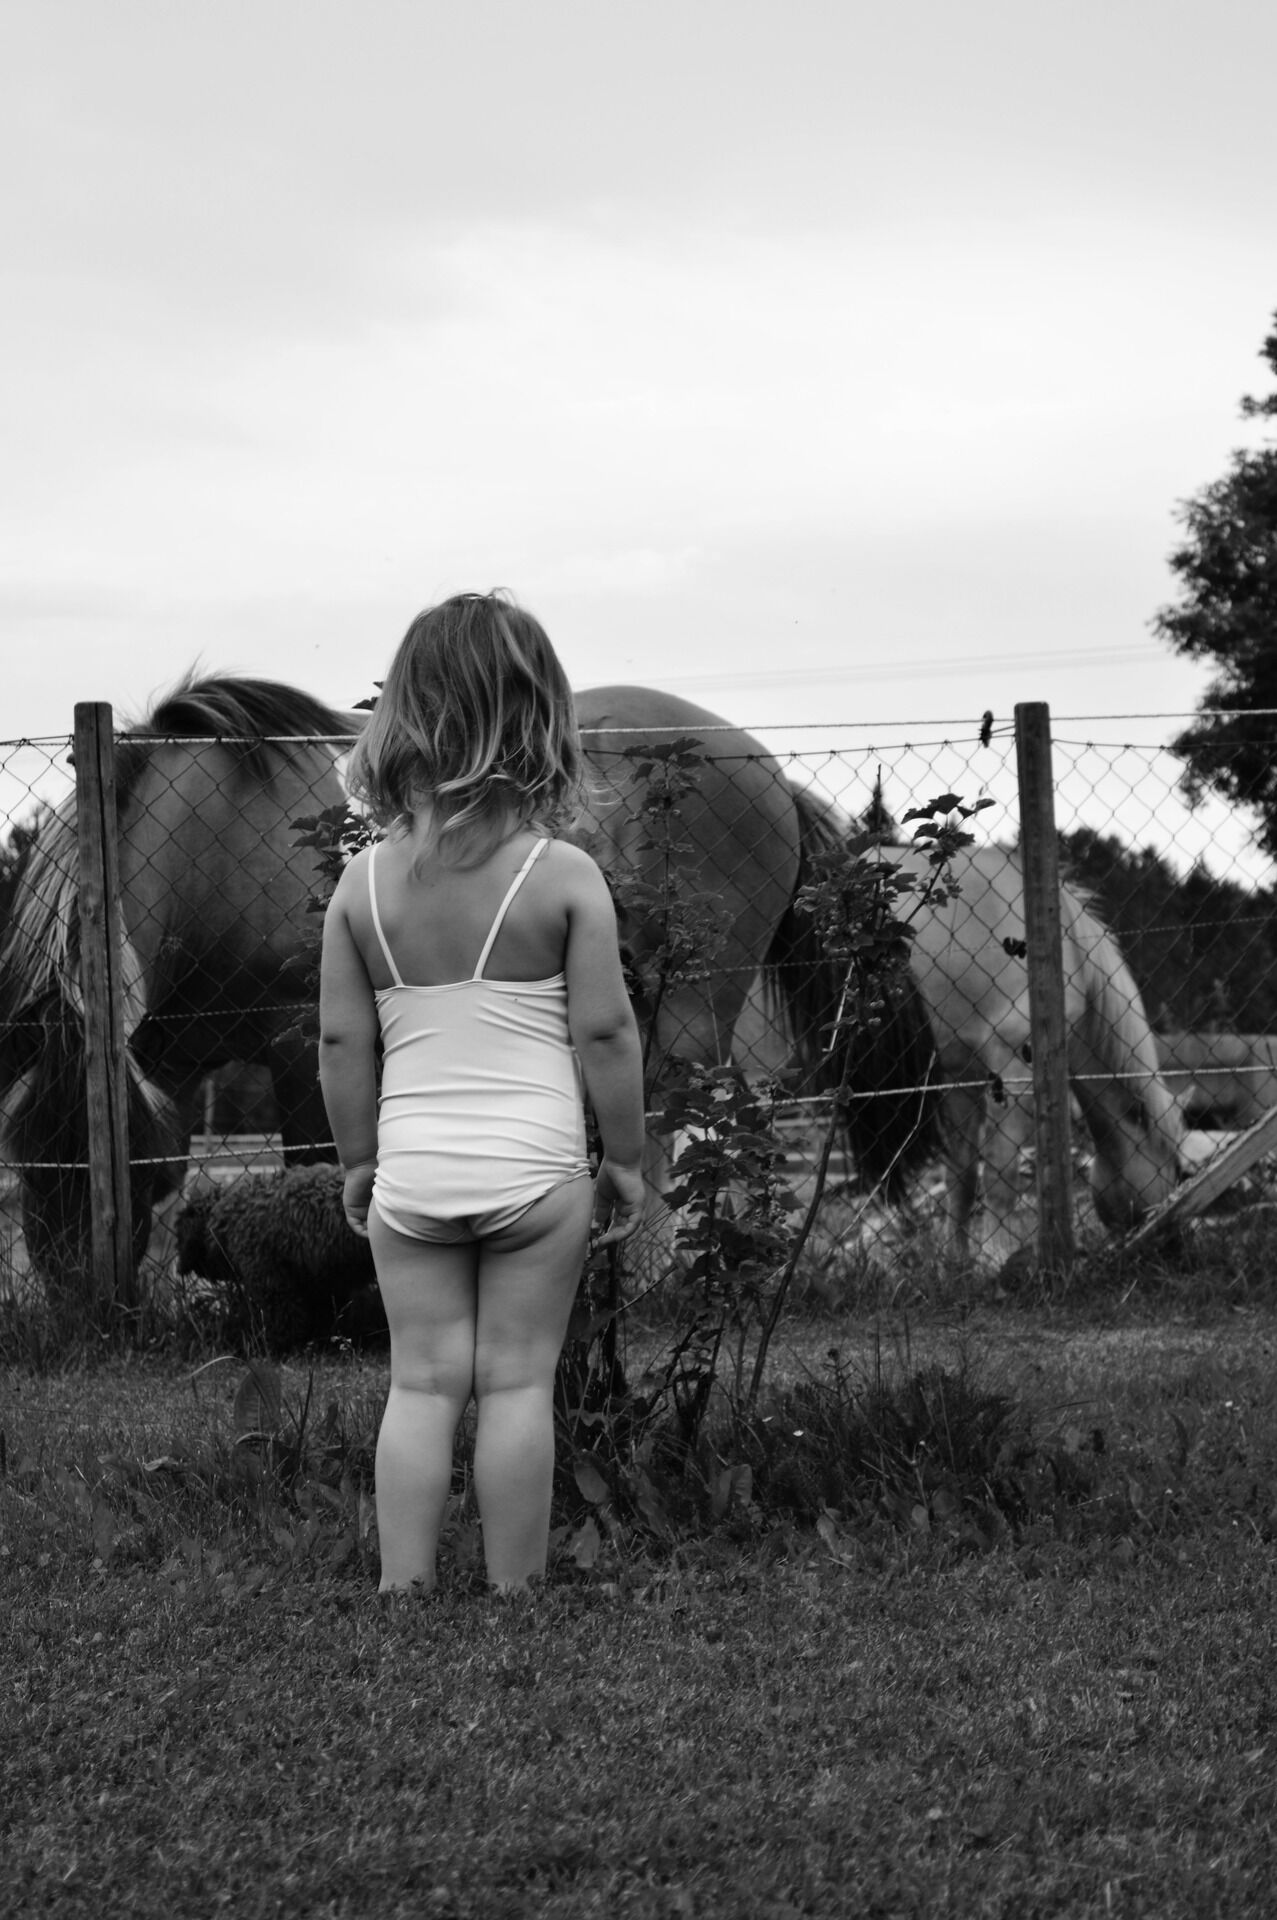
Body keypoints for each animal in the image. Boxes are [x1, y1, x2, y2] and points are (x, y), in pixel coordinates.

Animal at [0, 677, 944, 1295]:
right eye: (29, 1162)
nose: (82, 1305)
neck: (214, 834)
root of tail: (762, 763)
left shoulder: (304, 1043)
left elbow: (317, 1170)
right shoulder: (169, 1055)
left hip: (691, 1002)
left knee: (691, 1120)